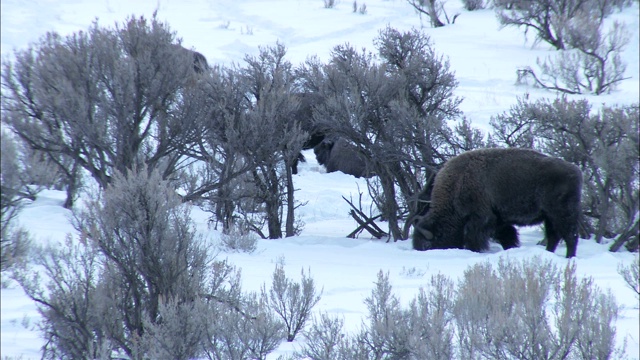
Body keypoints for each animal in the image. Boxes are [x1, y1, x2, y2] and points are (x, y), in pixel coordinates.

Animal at [412, 148, 584, 258]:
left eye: (430, 244)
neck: (459, 181)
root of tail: (576, 171)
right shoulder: (499, 221)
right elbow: (507, 236)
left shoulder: (481, 219)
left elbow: (474, 237)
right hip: (549, 217)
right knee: (554, 237)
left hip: (562, 214)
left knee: (570, 236)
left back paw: (569, 258)